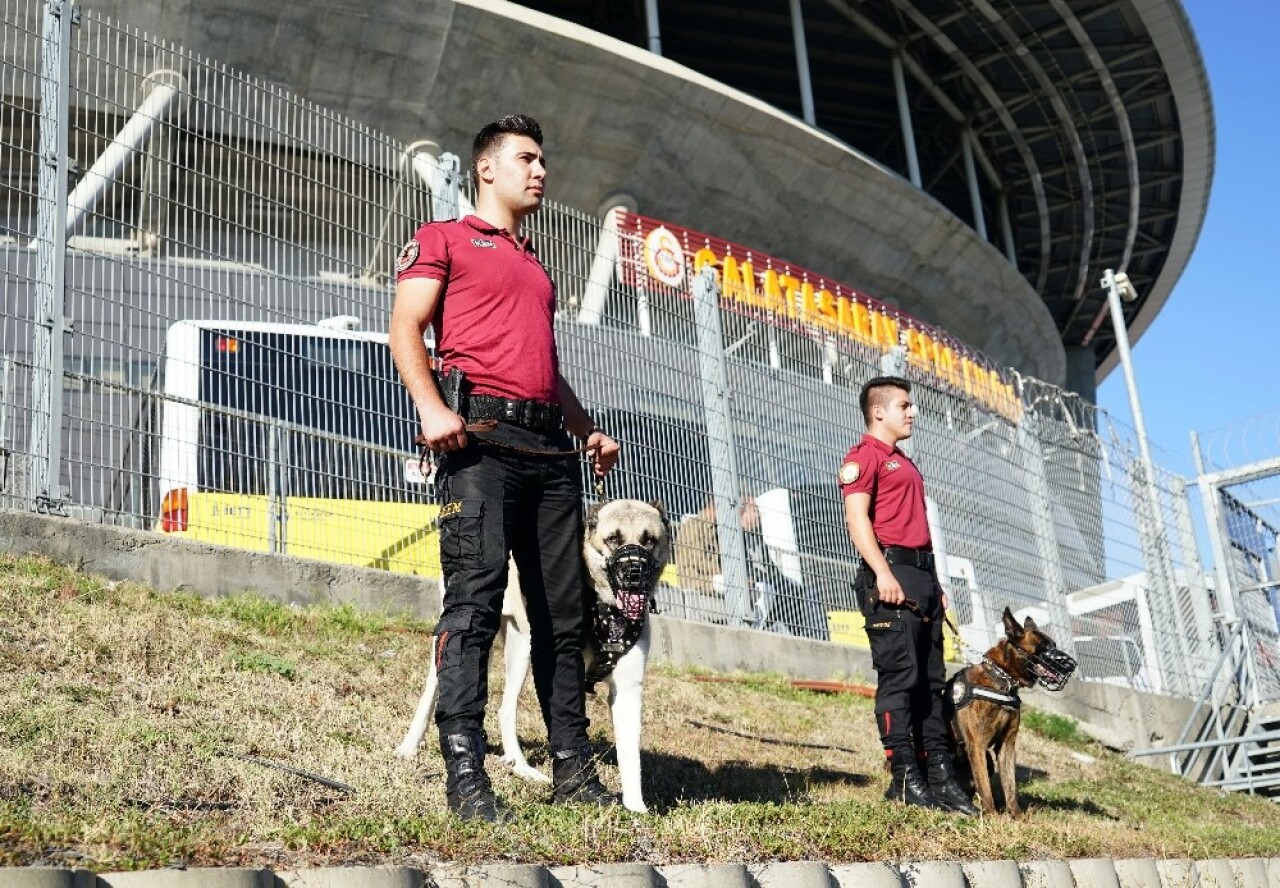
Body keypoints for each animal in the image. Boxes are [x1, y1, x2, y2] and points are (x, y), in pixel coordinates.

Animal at [396, 501, 675, 813]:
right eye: (613, 538)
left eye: (649, 540)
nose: (634, 572)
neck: (606, 609)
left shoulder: (628, 690)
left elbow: (631, 758)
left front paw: (636, 809)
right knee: (432, 690)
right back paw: (409, 746)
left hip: (522, 648)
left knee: (505, 709)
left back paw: (521, 767)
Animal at [947, 609, 1075, 818]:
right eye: (1043, 647)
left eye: (1054, 645)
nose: (1071, 665)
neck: (1002, 680)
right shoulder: (977, 745)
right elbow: (985, 786)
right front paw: (993, 817)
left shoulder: (1006, 746)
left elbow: (1010, 785)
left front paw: (1016, 816)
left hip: (989, 761)